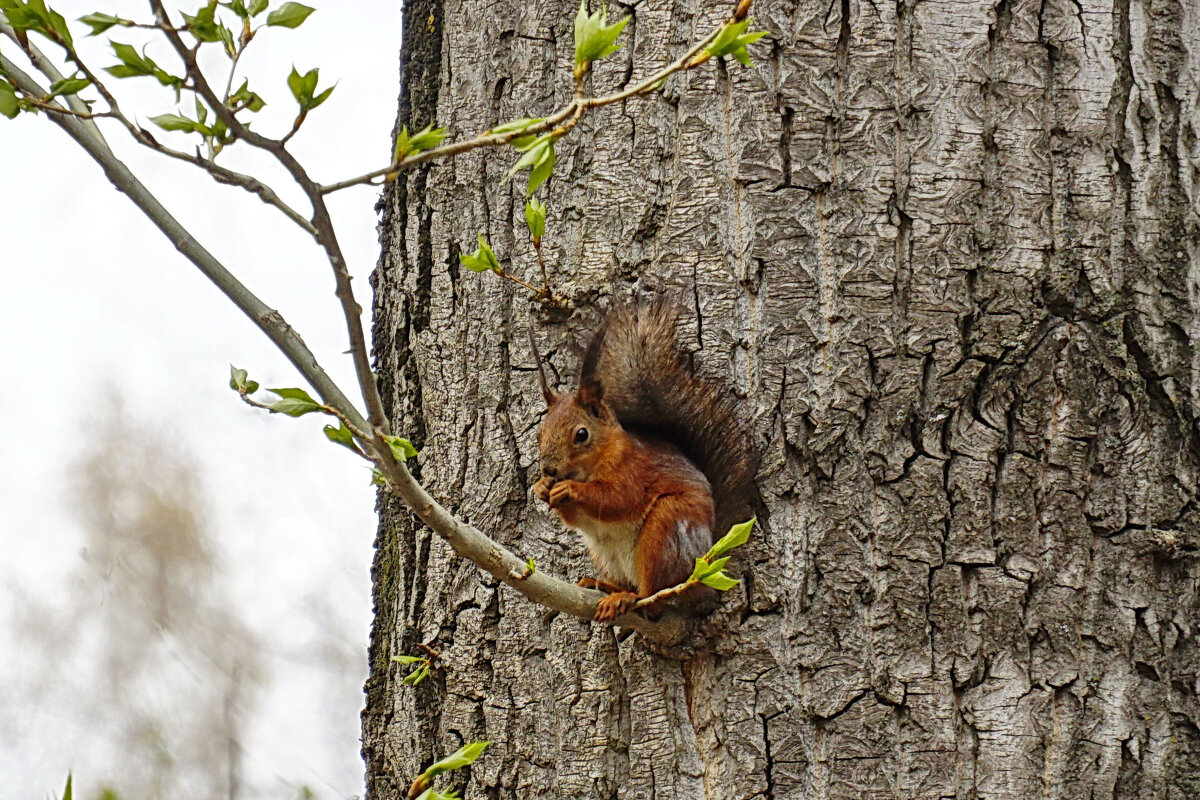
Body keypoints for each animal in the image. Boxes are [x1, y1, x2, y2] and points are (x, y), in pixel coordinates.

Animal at [530, 303, 753, 623]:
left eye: (582, 434)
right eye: (539, 433)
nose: (548, 469)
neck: (594, 465)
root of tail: (702, 571)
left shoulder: (636, 471)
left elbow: (617, 499)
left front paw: (570, 489)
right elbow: (576, 519)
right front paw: (541, 487)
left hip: (664, 533)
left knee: (655, 598)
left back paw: (627, 598)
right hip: (605, 554)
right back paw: (605, 585)